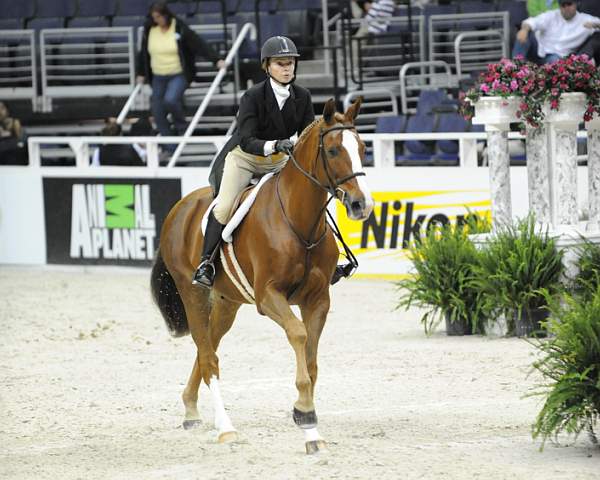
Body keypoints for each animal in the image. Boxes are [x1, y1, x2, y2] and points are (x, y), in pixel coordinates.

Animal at [151, 98, 370, 454]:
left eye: (363, 148)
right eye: (334, 150)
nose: (361, 204)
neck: (299, 220)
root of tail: (179, 207)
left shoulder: (318, 300)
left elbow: (311, 360)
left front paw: (304, 417)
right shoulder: (268, 297)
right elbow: (298, 335)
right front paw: (306, 416)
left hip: (226, 302)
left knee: (207, 346)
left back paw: (191, 409)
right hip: (192, 292)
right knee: (207, 355)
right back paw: (225, 427)